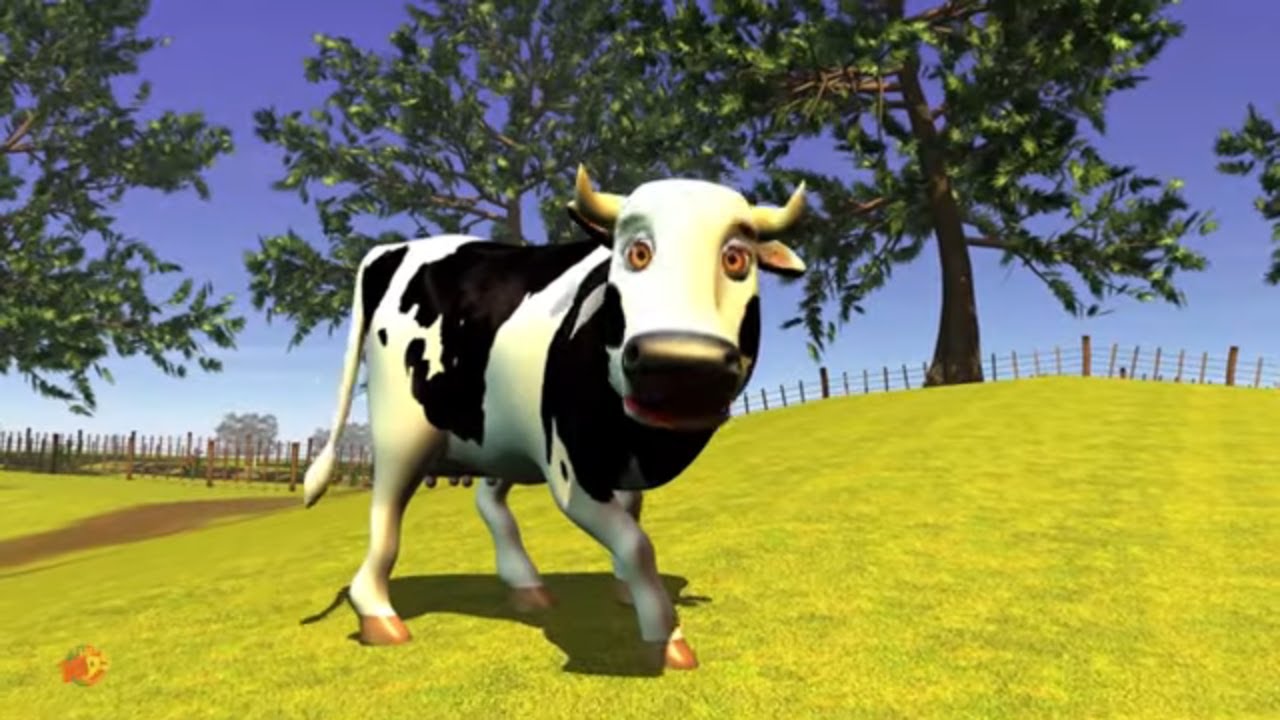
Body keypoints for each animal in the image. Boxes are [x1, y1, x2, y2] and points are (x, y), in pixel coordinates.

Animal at [301, 165, 807, 671]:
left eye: (737, 259)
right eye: (636, 253)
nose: (679, 361)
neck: (642, 445)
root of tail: (392, 250)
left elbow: (632, 519)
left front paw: (629, 592)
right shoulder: (572, 473)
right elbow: (636, 543)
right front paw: (665, 636)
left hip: (500, 433)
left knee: (488, 502)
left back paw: (526, 586)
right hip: (403, 429)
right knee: (385, 516)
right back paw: (377, 613)